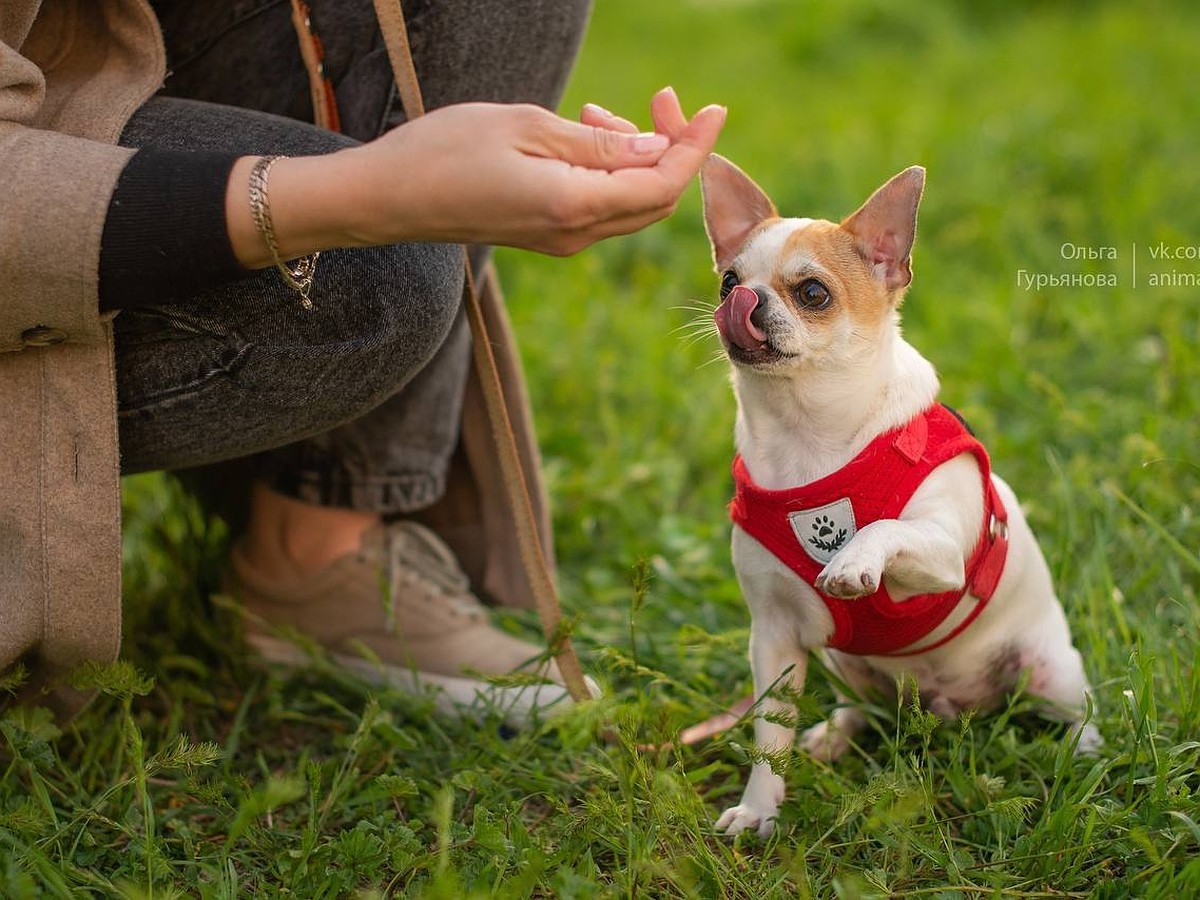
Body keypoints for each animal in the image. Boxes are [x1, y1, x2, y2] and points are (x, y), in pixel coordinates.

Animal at [700, 157, 1104, 840]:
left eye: (814, 293)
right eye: (729, 278)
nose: (739, 299)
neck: (807, 437)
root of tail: (949, 709)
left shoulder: (944, 554)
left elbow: (884, 528)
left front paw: (852, 561)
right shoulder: (774, 638)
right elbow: (769, 738)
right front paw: (759, 809)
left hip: (1050, 668)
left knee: (1078, 708)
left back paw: (1087, 749)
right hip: (842, 664)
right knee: (863, 708)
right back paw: (835, 733)